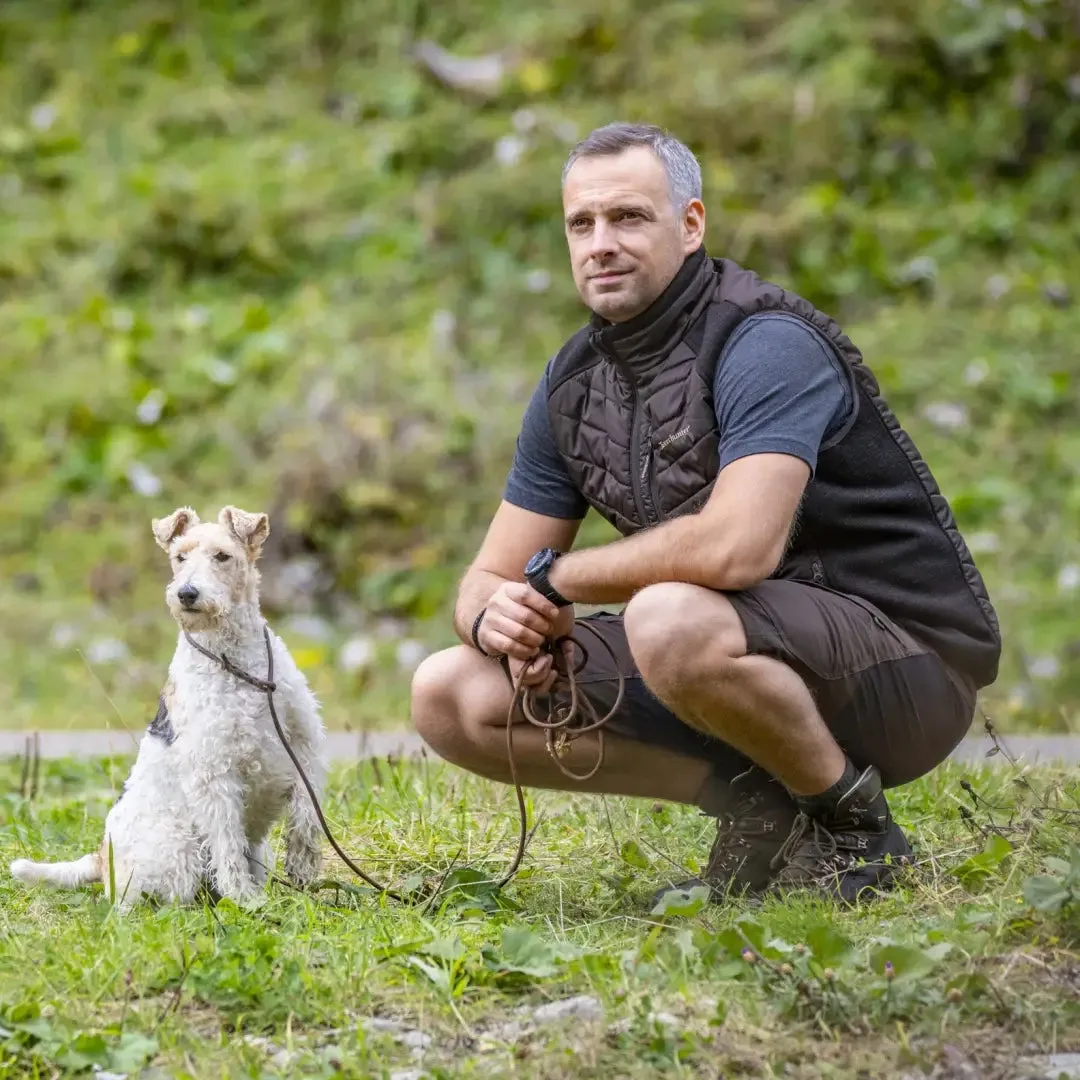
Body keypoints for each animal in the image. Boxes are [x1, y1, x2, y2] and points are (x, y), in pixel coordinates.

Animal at [8, 505, 326, 911]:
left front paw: (302, 867)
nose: (187, 593)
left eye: (222, 556)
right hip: (177, 852)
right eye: (180, 557)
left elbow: (306, 815)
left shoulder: (304, 746)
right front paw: (244, 899)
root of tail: (100, 858)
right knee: (145, 902)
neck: (236, 662)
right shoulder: (214, 774)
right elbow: (228, 845)